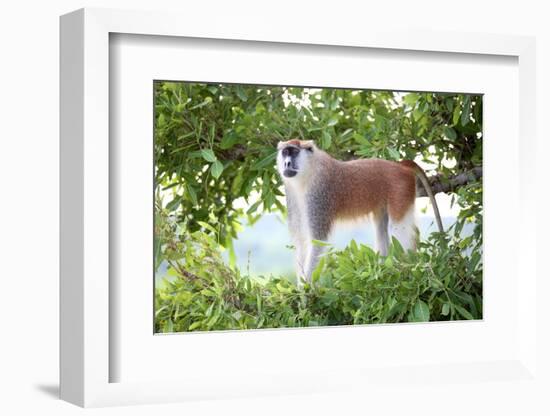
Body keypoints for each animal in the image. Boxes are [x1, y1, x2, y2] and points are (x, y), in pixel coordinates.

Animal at [276, 140, 444, 282]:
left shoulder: (319, 195)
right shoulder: (293, 196)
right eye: (285, 152)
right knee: (382, 225)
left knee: (399, 227)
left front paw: (306, 290)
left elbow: (318, 240)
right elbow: (300, 240)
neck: (309, 169)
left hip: (401, 189)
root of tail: (400, 165)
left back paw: (408, 268)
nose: (287, 163)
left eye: (294, 152)